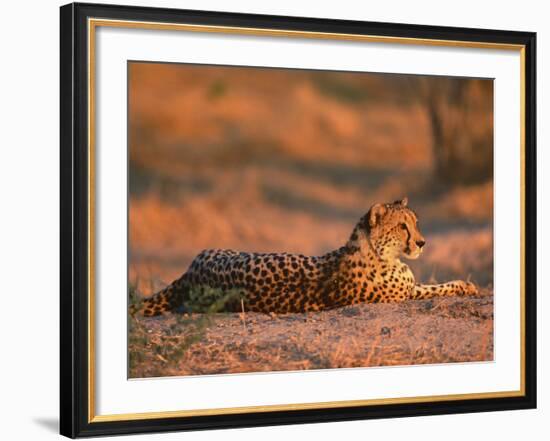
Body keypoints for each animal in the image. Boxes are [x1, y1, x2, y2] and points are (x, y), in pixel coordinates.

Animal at [133, 198, 478, 314]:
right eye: (402, 226)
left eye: (416, 222)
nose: (422, 242)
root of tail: (192, 270)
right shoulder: (406, 293)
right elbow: (439, 287)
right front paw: (467, 286)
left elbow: (436, 285)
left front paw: (466, 284)